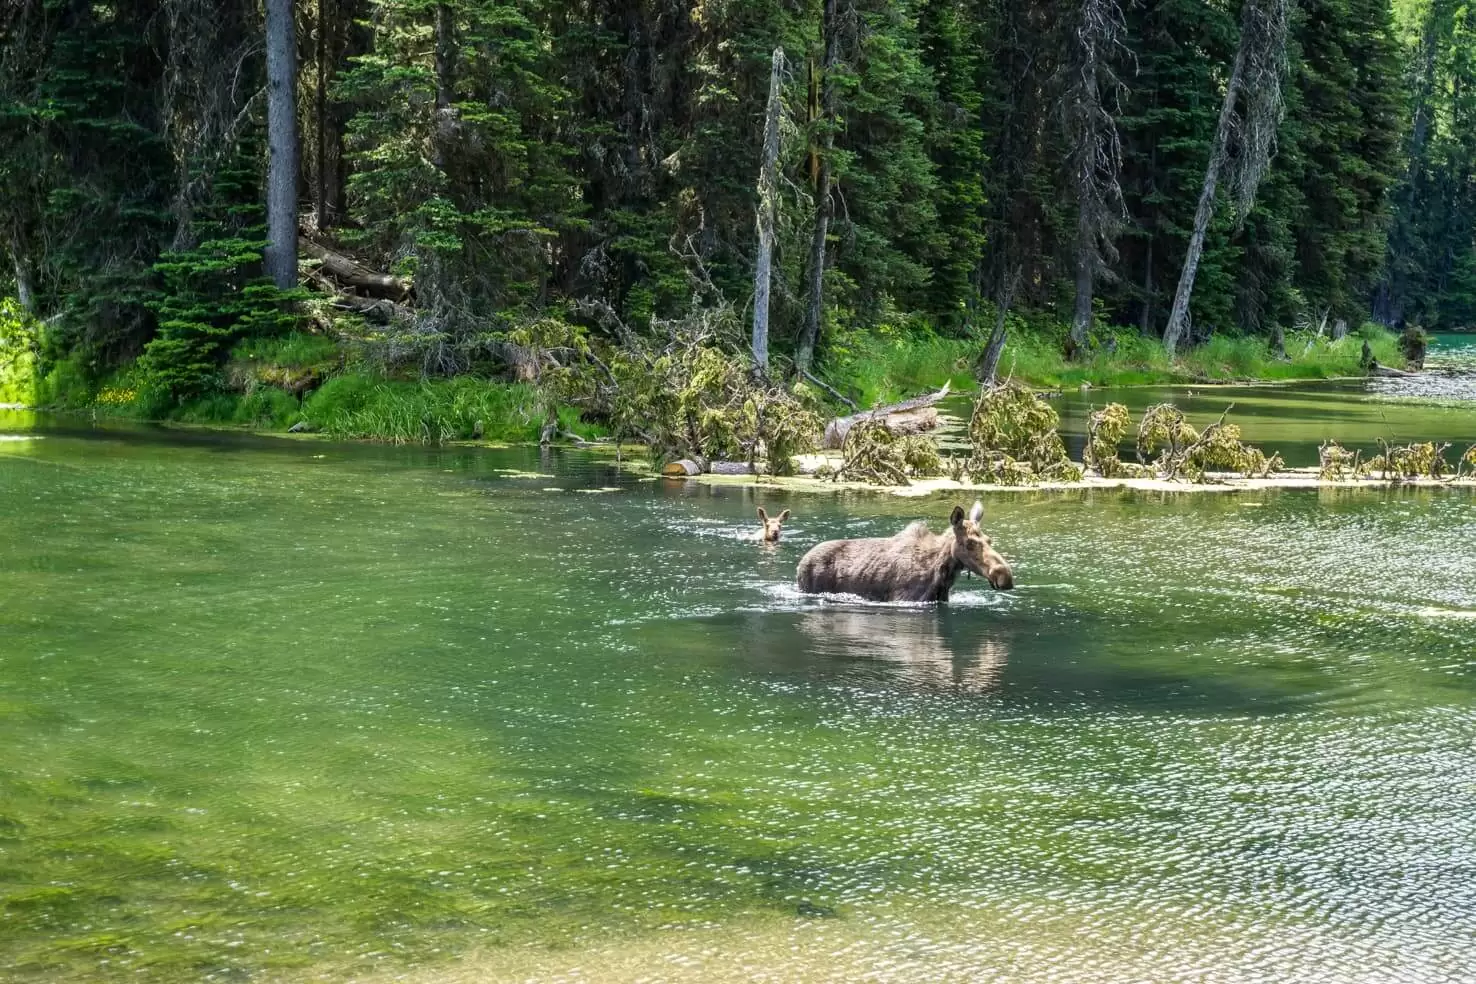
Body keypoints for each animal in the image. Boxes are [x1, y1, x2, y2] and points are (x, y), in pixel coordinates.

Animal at [797, 504, 1015, 604]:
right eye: (969, 543)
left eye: (989, 540)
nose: (1005, 575)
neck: (942, 575)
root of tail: (800, 564)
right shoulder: (905, 598)